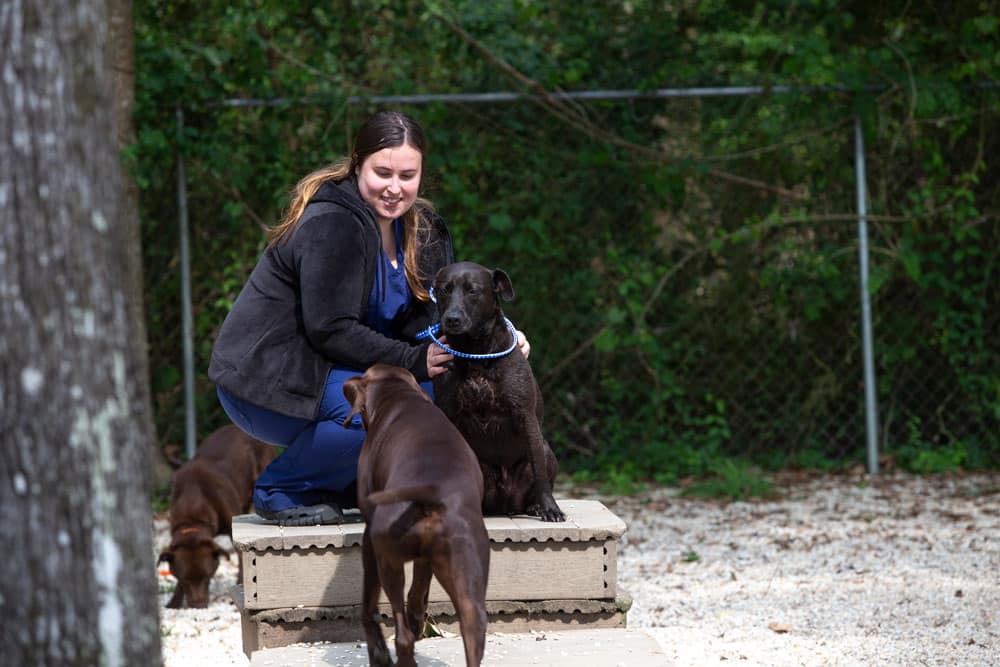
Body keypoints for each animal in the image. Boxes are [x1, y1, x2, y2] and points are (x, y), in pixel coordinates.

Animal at [344, 366, 488, 667]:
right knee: (473, 625)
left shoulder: (369, 541)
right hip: (466, 566)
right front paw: (418, 619)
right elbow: (420, 586)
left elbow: (368, 605)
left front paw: (378, 654)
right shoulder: (426, 558)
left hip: (388, 562)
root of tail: (433, 493)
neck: (398, 395)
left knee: (402, 636)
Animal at [432, 260, 568, 520]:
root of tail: (505, 506)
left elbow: (540, 473)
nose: (452, 319)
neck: (475, 352)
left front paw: (550, 508)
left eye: (472, 291)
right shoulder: (447, 412)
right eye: (444, 290)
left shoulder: (525, 416)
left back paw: (536, 506)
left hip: (546, 450)